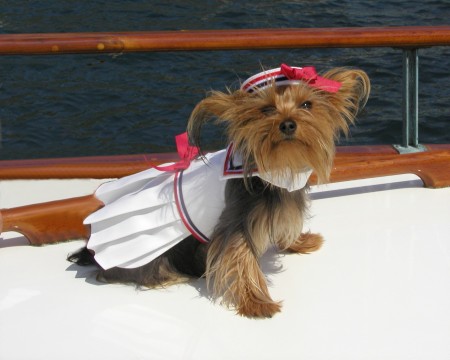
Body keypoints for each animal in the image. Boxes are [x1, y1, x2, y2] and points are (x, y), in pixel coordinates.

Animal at [67, 64, 370, 318]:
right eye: (266, 110)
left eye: (307, 104)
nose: (287, 123)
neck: (274, 167)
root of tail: (92, 251)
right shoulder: (237, 223)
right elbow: (242, 259)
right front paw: (257, 303)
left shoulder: (282, 205)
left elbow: (286, 225)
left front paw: (300, 242)